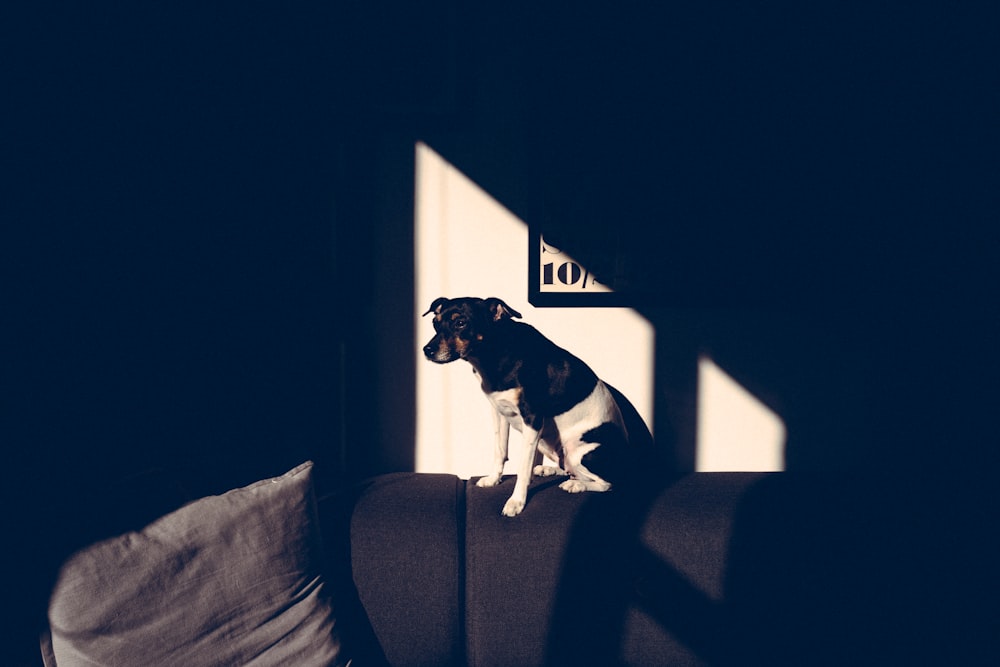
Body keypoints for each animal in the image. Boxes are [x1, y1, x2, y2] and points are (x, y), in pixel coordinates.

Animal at [420, 296, 624, 516]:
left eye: (460, 323)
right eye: (435, 323)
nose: (427, 350)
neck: (494, 356)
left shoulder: (532, 418)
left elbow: (523, 468)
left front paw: (516, 502)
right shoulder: (499, 412)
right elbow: (500, 451)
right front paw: (493, 480)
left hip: (579, 453)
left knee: (607, 483)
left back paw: (576, 485)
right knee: (570, 470)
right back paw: (549, 469)